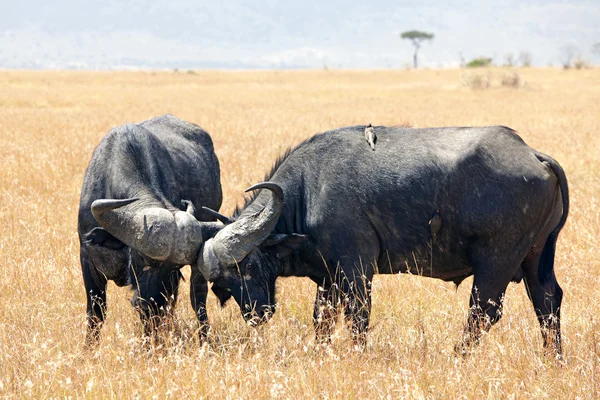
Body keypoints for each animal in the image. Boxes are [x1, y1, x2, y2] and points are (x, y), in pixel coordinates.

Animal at [77, 114, 221, 346]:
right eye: (143, 258)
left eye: (173, 267)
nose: (151, 302)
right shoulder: (87, 258)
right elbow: (96, 312)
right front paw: (89, 349)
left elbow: (153, 318)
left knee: (197, 297)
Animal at [197, 126, 568, 356]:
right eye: (224, 284)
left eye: (248, 266)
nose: (256, 314)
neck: (307, 190)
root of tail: (532, 154)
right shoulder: (328, 277)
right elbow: (323, 319)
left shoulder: (356, 267)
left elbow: (357, 316)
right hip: (535, 258)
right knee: (547, 301)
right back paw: (553, 358)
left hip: (497, 261)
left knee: (483, 312)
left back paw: (457, 355)